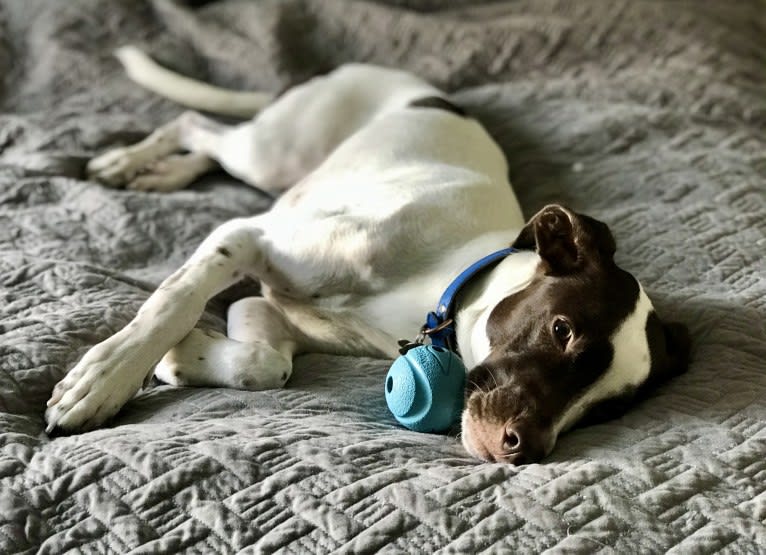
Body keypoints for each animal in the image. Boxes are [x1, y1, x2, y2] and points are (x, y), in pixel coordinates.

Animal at [42, 47, 692, 464]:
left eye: (610, 409)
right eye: (561, 330)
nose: (527, 451)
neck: (441, 288)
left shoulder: (268, 310)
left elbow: (265, 364)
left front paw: (182, 359)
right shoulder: (247, 236)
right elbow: (170, 303)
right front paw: (105, 378)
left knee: (208, 143)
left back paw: (163, 173)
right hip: (272, 150)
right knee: (193, 122)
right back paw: (126, 160)